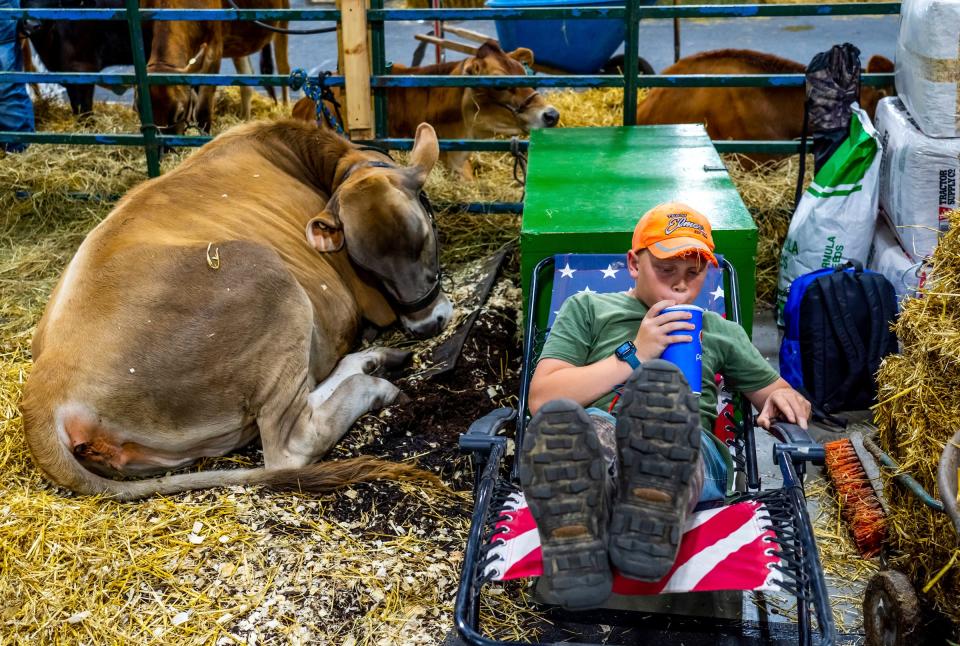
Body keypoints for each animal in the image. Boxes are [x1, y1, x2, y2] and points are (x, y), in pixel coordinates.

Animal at [21, 119, 454, 502]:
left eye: (424, 236)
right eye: (365, 266)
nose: (426, 324)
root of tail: (47, 383)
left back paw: (374, 361)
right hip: (271, 284)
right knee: (292, 442)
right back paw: (375, 384)